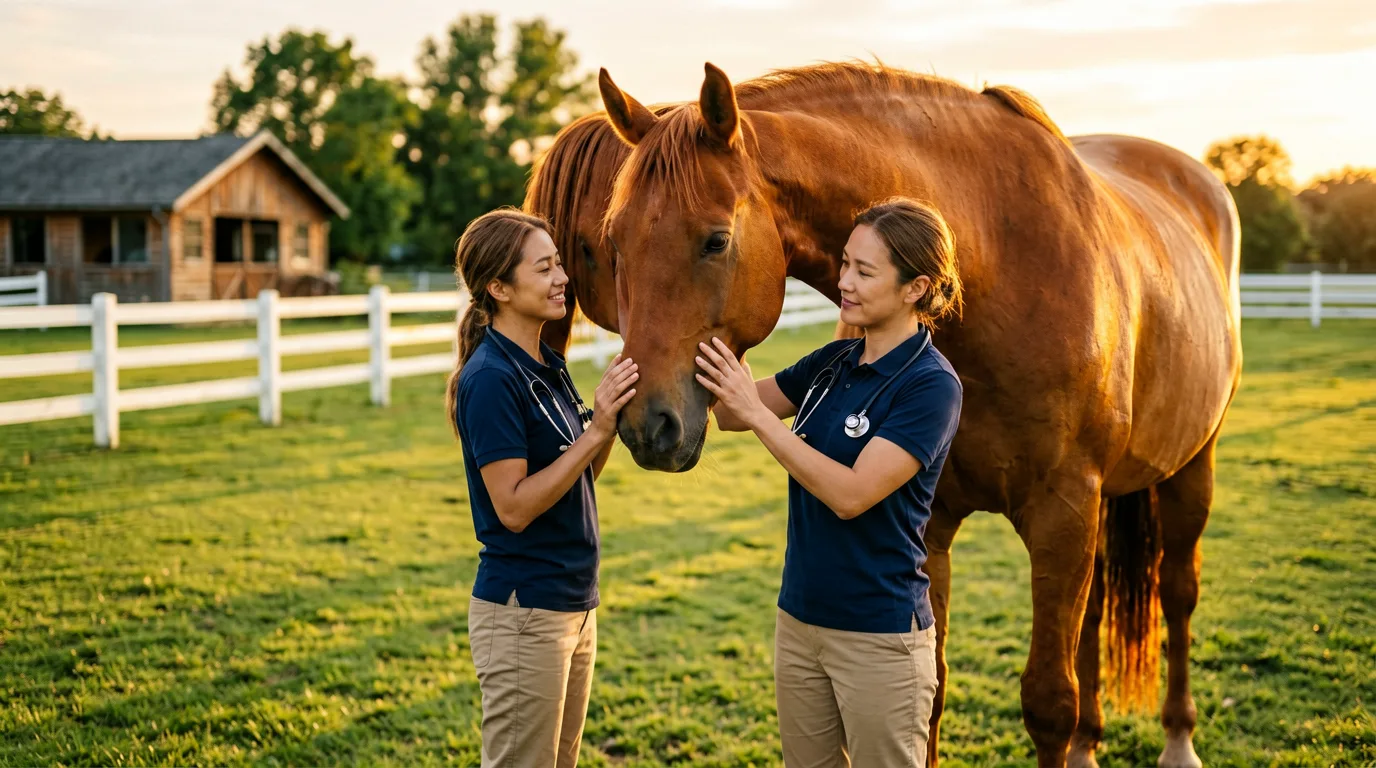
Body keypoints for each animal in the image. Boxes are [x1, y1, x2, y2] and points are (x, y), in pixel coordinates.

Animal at [525, 62, 1242, 768]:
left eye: (716, 240)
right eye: (611, 242)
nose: (649, 426)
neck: (1000, 268)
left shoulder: (1063, 512)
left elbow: (1047, 703)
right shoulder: (934, 522)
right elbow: (930, 692)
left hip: (1190, 469)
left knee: (1178, 592)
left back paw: (1179, 740)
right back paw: (1092, 746)